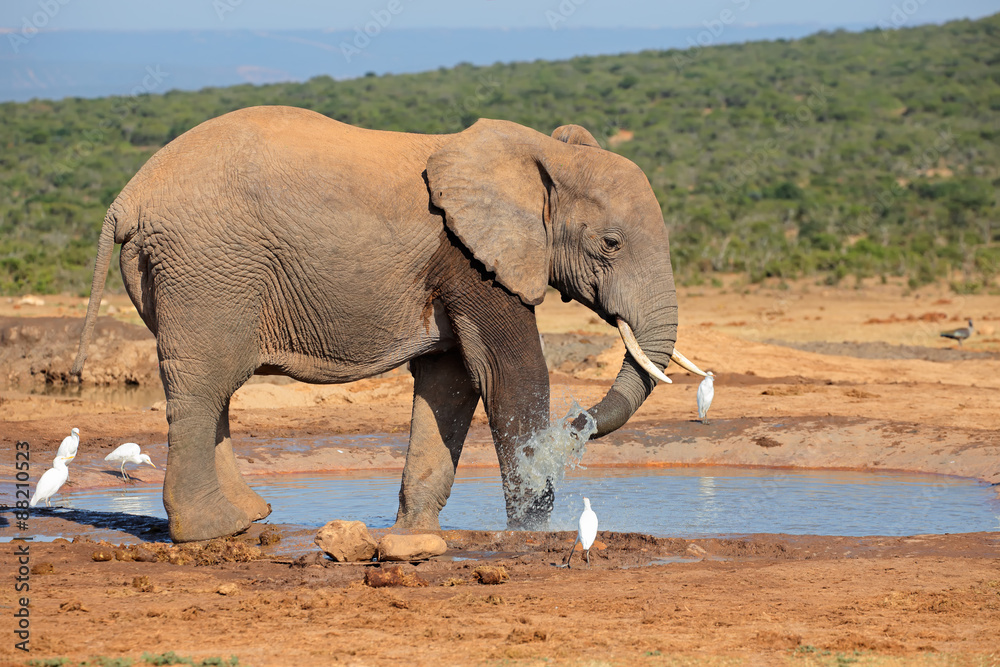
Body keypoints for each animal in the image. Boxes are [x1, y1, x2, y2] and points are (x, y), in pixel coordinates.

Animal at [72, 106, 707, 542]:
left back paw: (249, 517)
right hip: (207, 267)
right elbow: (510, 374)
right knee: (205, 384)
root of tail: (127, 197)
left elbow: (451, 381)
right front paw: (531, 534)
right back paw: (212, 530)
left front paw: (413, 535)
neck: (539, 153)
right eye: (611, 243)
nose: (579, 420)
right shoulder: (468, 255)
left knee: (215, 390)